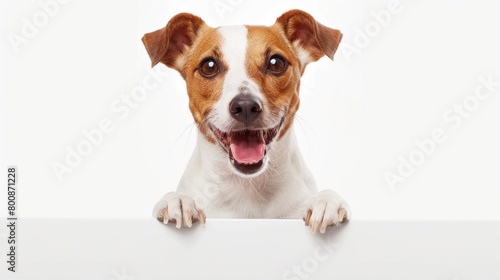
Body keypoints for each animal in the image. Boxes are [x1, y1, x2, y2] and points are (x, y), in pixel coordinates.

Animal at [143, 9, 350, 234]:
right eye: (209, 66)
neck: (247, 187)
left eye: (276, 63)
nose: (245, 106)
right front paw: (177, 200)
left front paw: (326, 201)